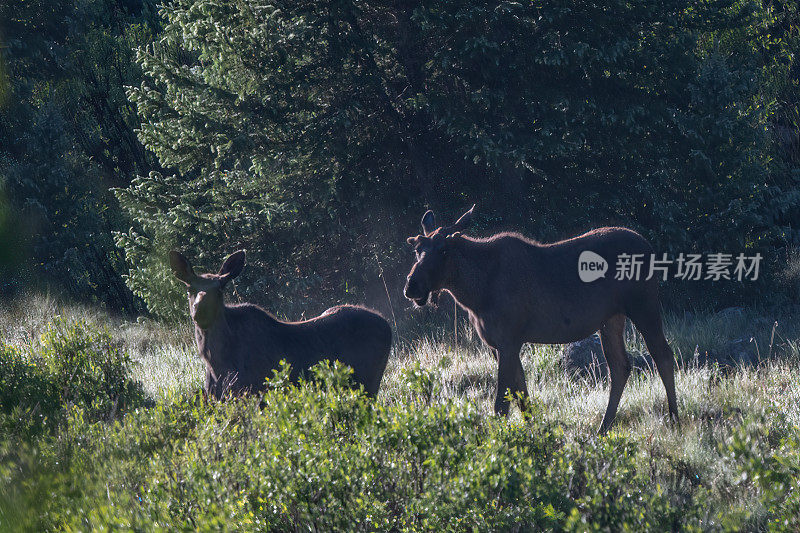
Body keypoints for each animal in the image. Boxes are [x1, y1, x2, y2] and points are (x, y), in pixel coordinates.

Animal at [170, 248, 392, 394]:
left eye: (219, 290)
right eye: (190, 289)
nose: (200, 311)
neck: (216, 363)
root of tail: (388, 325)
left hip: (368, 383)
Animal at [404, 204, 680, 432]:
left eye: (444, 250)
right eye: (417, 249)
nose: (412, 286)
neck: (475, 294)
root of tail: (650, 248)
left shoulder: (508, 340)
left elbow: (502, 404)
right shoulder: (499, 344)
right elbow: (522, 394)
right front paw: (533, 432)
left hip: (643, 306)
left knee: (663, 356)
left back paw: (674, 420)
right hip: (611, 318)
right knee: (621, 366)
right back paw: (603, 428)